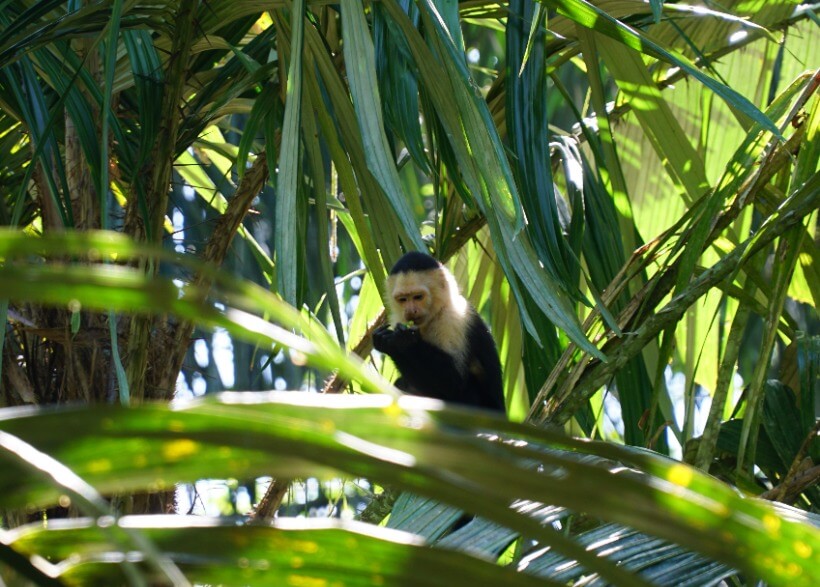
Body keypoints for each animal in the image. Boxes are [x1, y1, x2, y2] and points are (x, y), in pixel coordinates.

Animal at [374, 253, 506, 414]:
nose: (411, 311)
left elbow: (454, 382)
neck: (434, 315)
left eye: (418, 297)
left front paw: (402, 342)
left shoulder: (453, 318)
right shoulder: (398, 318)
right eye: (403, 299)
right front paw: (384, 341)